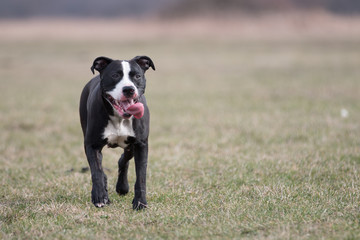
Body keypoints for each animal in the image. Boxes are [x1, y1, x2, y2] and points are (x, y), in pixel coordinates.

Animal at [80, 55, 155, 209]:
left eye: (137, 76)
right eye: (115, 75)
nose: (128, 89)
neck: (120, 117)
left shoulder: (141, 145)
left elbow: (141, 176)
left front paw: (140, 202)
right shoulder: (92, 145)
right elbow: (96, 171)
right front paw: (100, 197)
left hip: (131, 147)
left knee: (123, 160)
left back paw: (122, 187)